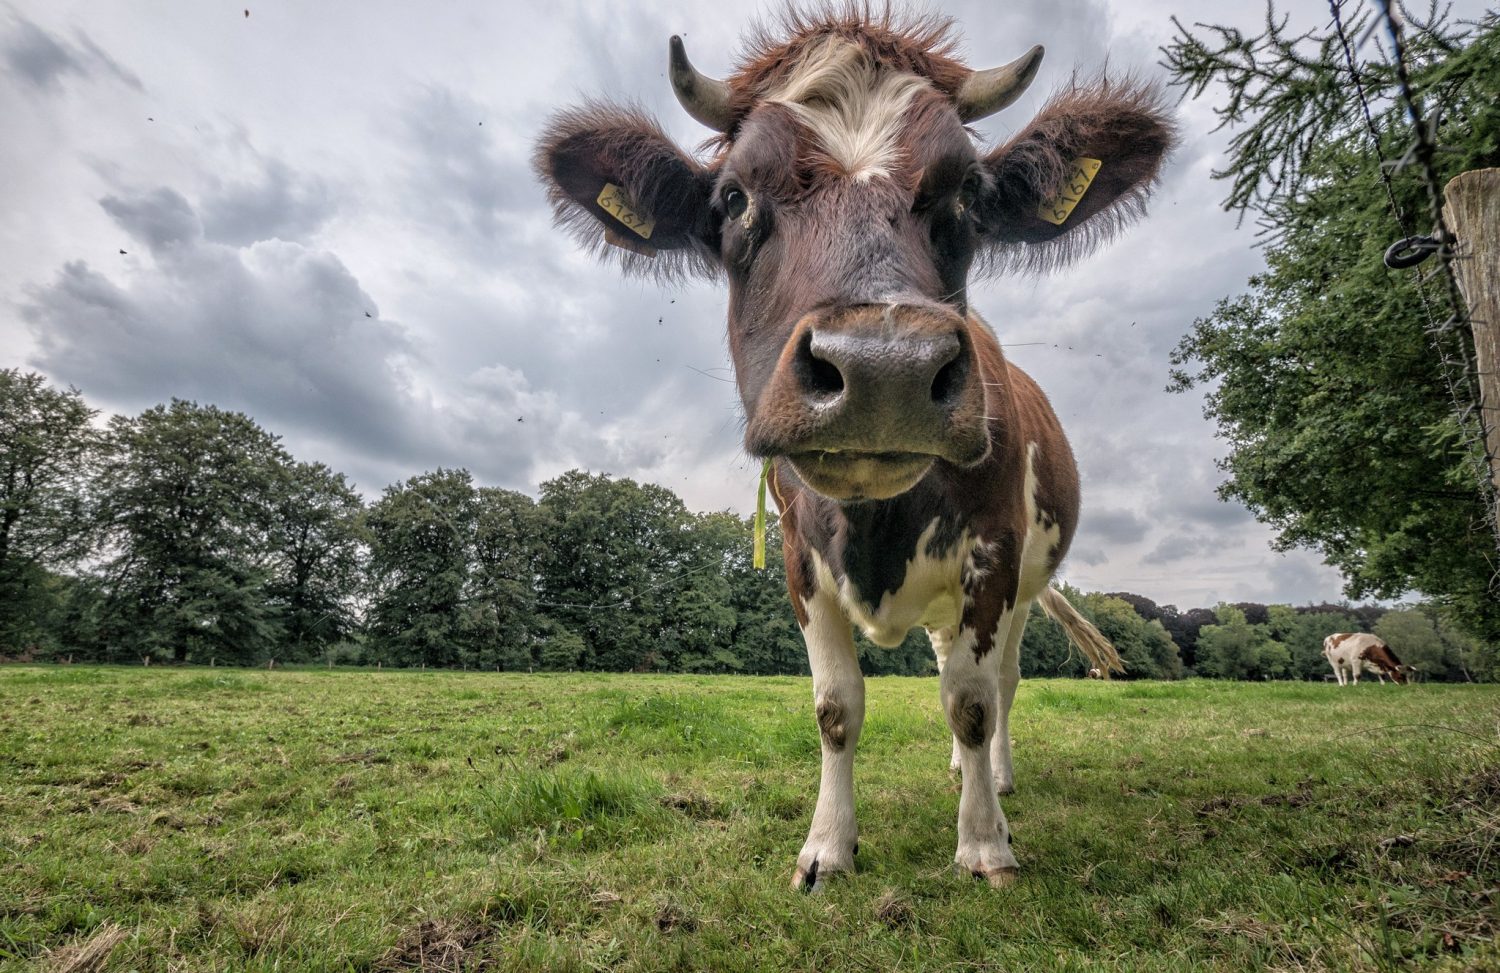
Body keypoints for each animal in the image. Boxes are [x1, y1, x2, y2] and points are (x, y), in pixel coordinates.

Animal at [534, 5, 1176, 887]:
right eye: (734, 196)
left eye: (969, 194)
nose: (884, 369)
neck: (878, 523)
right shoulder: (802, 561)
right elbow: (838, 707)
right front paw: (827, 845)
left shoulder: (994, 554)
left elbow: (974, 699)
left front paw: (984, 842)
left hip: (1026, 581)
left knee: (1001, 681)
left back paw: (998, 778)